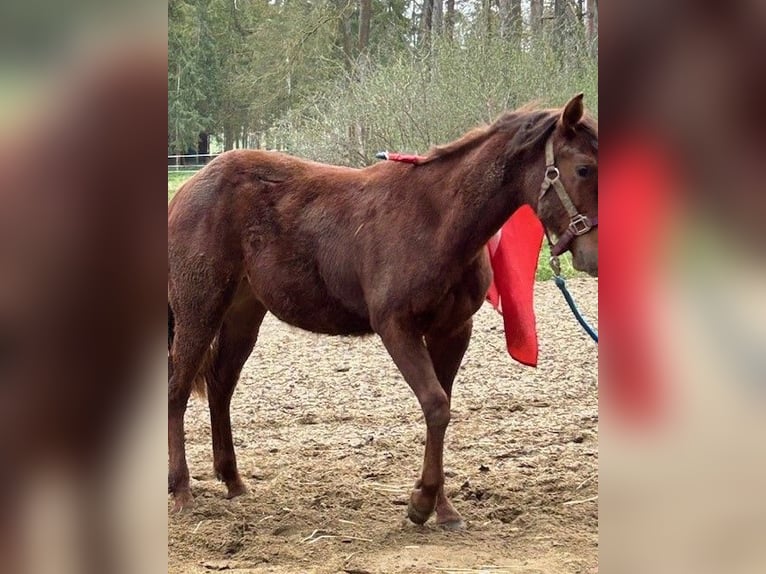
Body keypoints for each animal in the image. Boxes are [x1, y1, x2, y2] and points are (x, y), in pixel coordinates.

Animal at [168, 94, 598, 528]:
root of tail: (188, 188)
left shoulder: (453, 330)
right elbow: (435, 404)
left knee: (221, 386)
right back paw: (182, 490)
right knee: (178, 387)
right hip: (198, 308)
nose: (592, 256)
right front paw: (421, 503)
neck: (437, 220)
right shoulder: (397, 327)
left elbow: (442, 407)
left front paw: (443, 508)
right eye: (583, 168)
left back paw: (233, 481)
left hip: (243, 314)